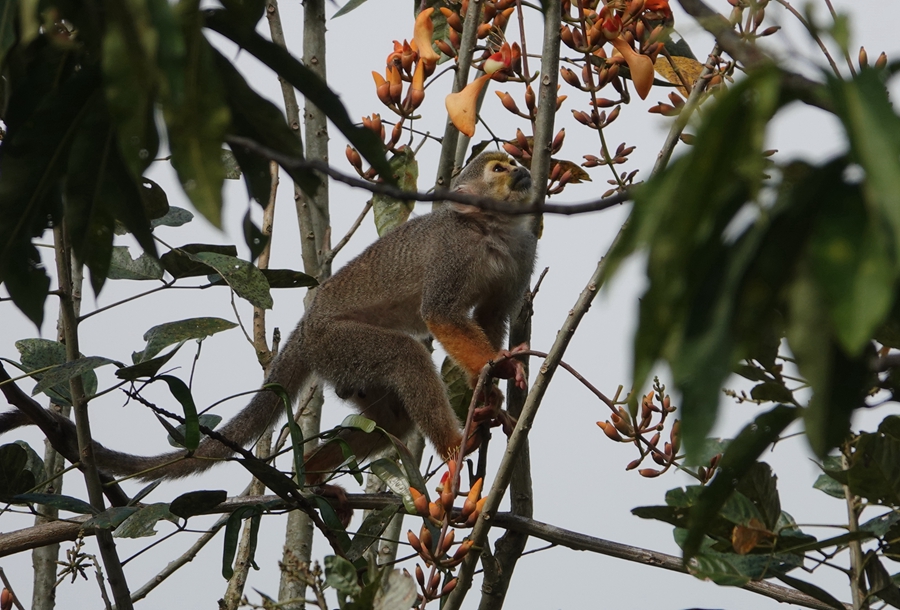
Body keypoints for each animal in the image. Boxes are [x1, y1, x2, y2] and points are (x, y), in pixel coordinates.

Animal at [0, 151, 536, 484]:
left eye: (512, 163)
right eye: (498, 167)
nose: (523, 172)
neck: (490, 230)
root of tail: (303, 329)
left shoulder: (522, 250)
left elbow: (489, 316)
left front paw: (494, 382)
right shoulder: (453, 249)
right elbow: (440, 314)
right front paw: (497, 368)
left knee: (393, 415)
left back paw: (313, 479)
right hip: (334, 343)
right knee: (403, 357)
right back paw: (455, 444)